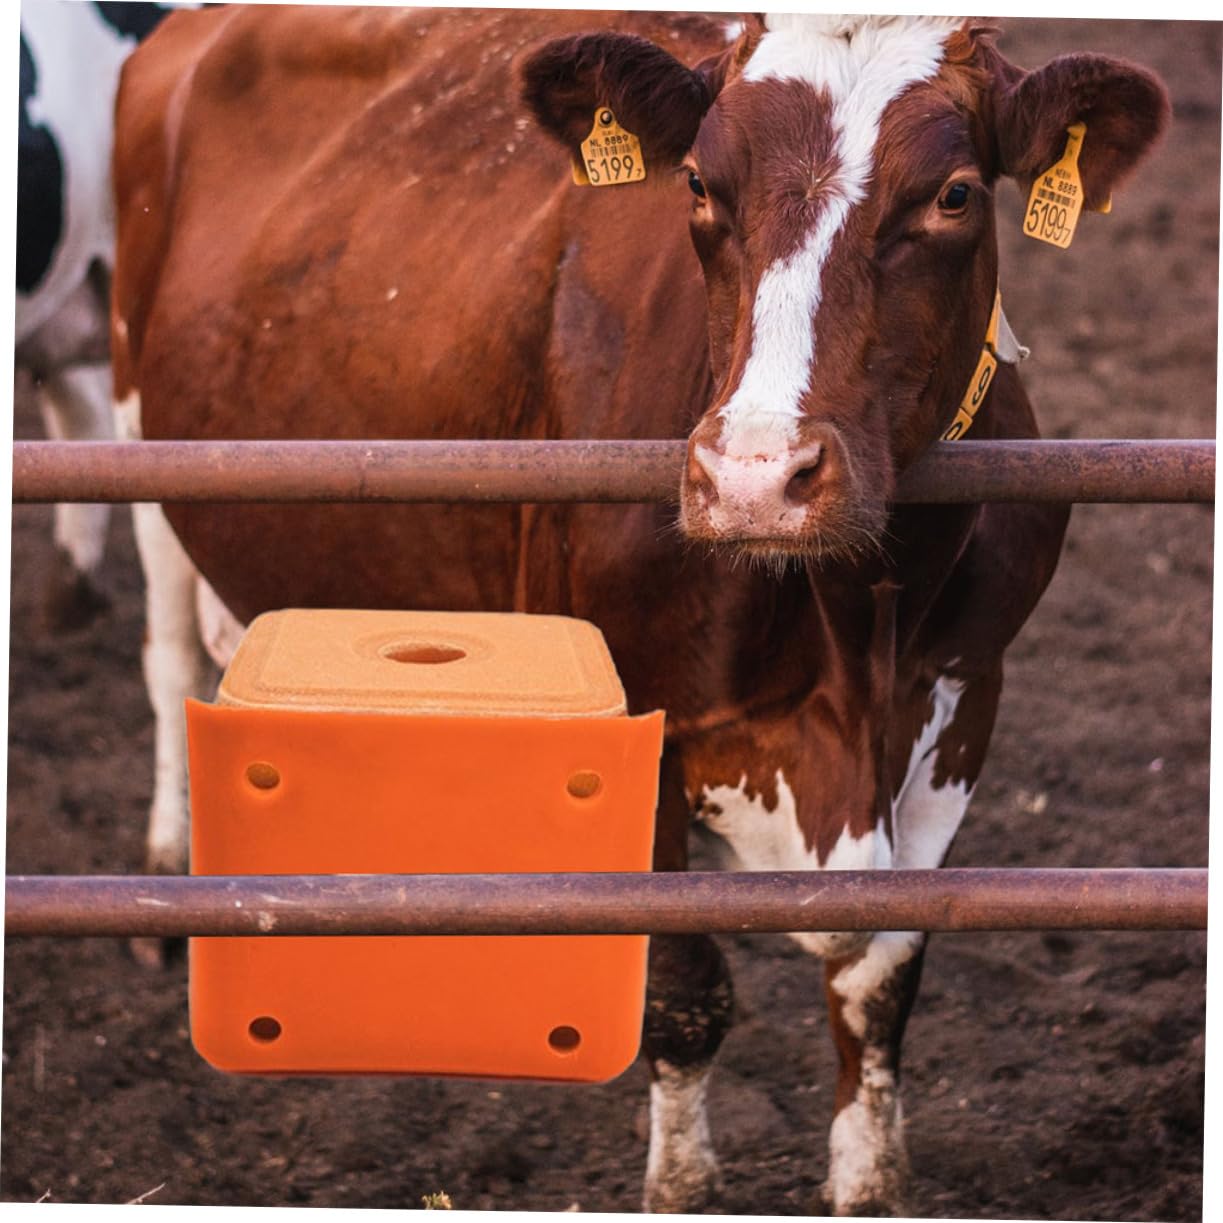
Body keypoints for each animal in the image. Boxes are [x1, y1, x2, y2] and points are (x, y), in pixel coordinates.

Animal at [109, 7, 1168, 1215]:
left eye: (950, 194)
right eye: (700, 184)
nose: (754, 476)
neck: (850, 637)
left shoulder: (961, 695)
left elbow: (881, 975)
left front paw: (868, 1178)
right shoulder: (645, 723)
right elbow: (684, 987)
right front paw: (680, 1179)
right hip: (143, 436)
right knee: (168, 659)